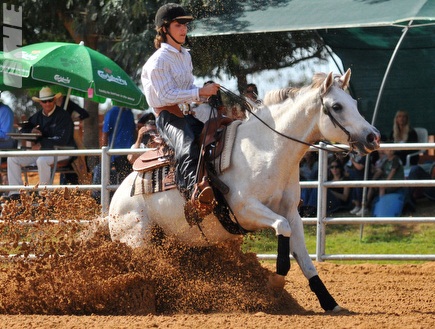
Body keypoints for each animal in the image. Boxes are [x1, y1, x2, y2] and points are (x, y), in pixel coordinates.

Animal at [107, 70, 380, 312]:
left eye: (354, 103)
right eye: (337, 106)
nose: (373, 137)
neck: (268, 149)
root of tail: (115, 202)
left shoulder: (292, 213)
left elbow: (304, 258)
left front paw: (330, 303)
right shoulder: (246, 210)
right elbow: (282, 228)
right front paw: (275, 282)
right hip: (136, 240)